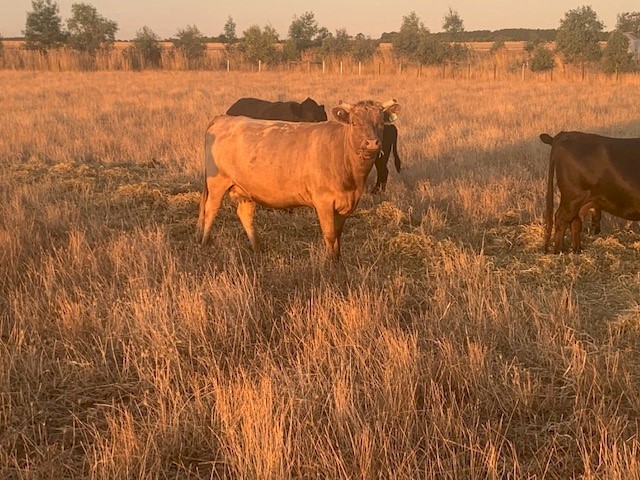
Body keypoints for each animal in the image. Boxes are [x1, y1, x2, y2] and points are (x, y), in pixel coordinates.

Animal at [197, 99, 401, 263]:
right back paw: (205, 243)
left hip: (245, 189)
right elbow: (329, 234)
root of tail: (224, 118)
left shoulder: (347, 204)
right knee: (211, 209)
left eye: (380, 122)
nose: (372, 143)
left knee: (245, 214)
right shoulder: (324, 201)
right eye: (354, 123)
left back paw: (257, 247)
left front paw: (338, 260)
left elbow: (338, 234)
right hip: (217, 182)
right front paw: (329, 264)